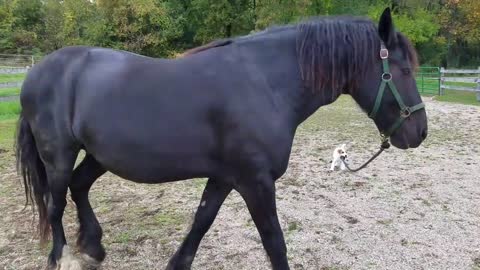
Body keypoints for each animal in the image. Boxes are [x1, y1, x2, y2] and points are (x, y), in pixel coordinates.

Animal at [15, 8, 428, 270]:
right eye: (404, 70)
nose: (420, 132)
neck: (265, 84)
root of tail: (38, 71)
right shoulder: (255, 182)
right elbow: (274, 242)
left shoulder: (225, 178)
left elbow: (201, 223)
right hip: (58, 156)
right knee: (55, 204)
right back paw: (62, 258)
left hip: (97, 155)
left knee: (79, 187)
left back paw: (94, 248)